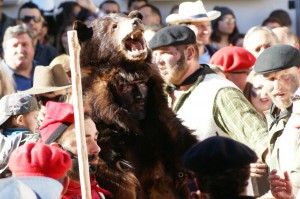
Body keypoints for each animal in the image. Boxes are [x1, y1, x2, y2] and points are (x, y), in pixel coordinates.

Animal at [74, 11, 198, 199]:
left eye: (144, 84)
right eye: (114, 26)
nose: (136, 21)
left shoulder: (161, 119)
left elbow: (181, 139)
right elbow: (111, 168)